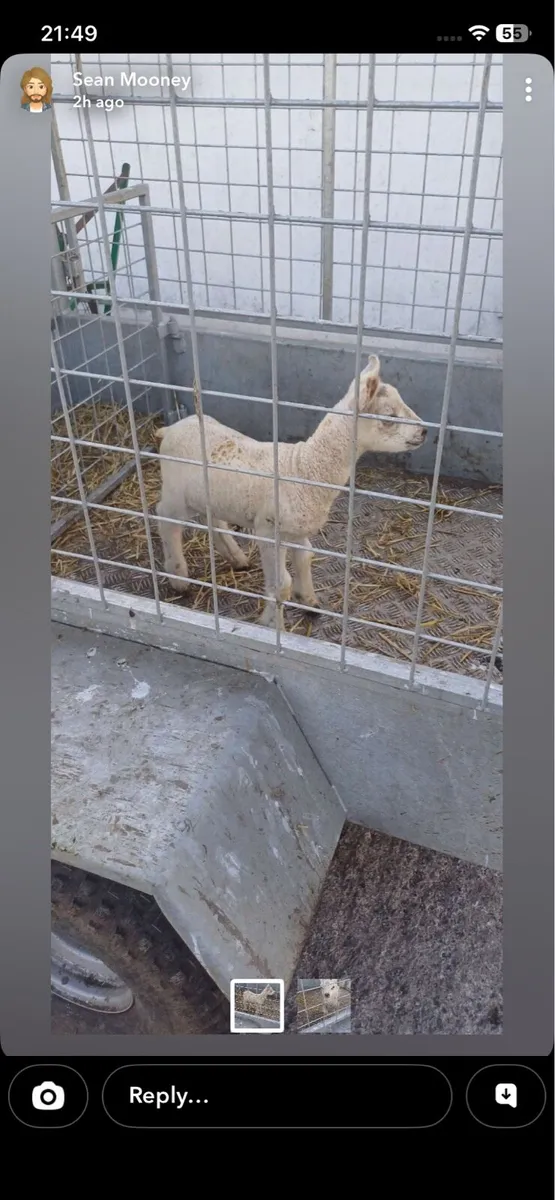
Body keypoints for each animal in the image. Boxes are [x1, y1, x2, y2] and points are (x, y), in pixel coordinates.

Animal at [155, 354, 427, 629]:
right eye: (390, 416)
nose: (425, 431)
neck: (305, 468)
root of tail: (171, 428)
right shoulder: (267, 531)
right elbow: (280, 585)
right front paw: (272, 625)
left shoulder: (296, 529)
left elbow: (306, 557)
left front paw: (309, 601)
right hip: (175, 493)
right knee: (164, 519)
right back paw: (178, 576)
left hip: (209, 494)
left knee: (213, 520)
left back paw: (236, 557)